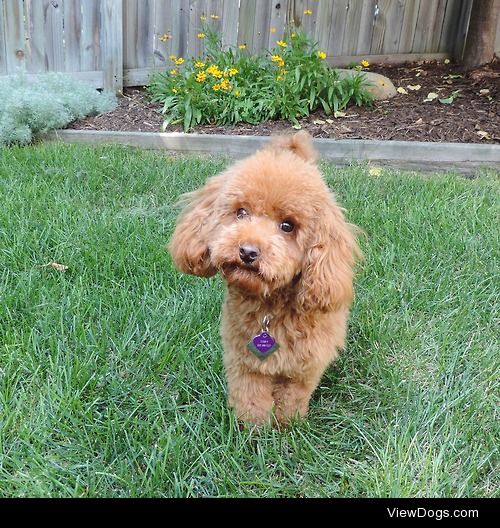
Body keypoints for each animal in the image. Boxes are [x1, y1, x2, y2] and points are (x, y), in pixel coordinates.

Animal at [168, 132, 360, 424]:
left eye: (287, 226)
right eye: (241, 212)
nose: (247, 251)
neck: (271, 306)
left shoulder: (303, 369)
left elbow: (292, 399)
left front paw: (287, 425)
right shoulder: (244, 361)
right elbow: (251, 399)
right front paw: (253, 429)